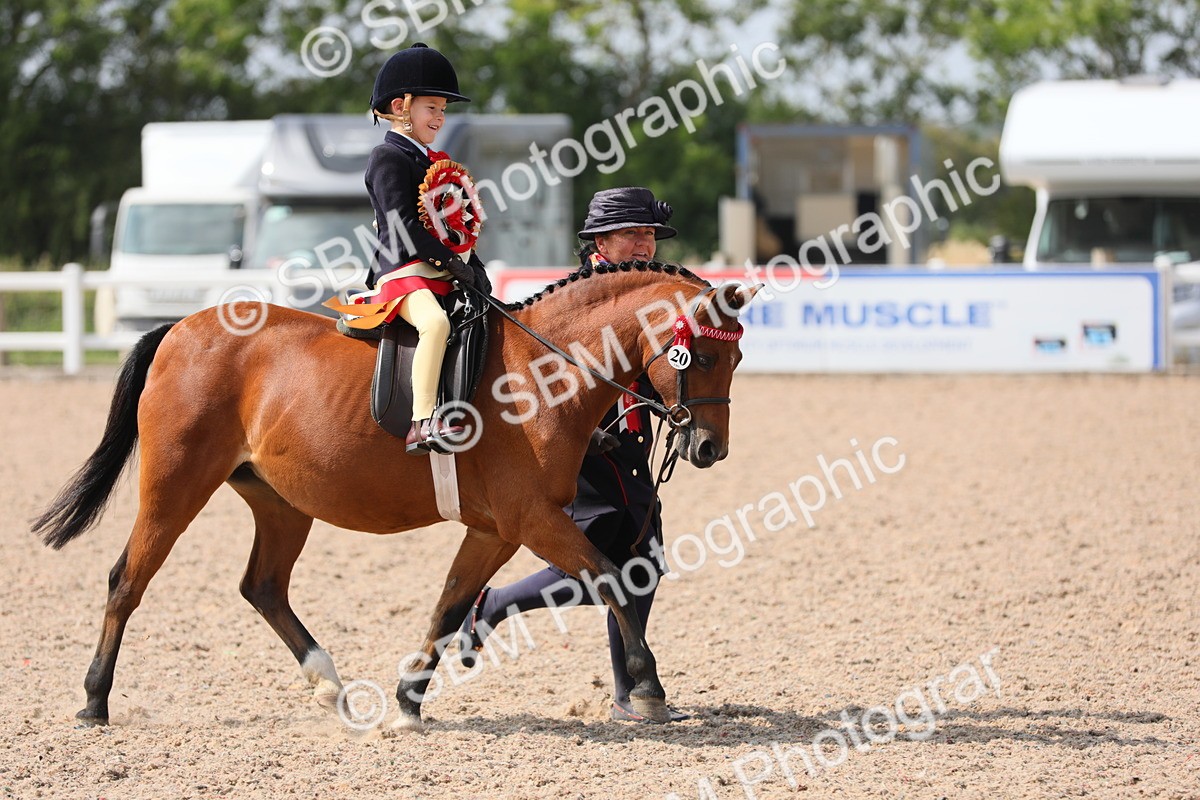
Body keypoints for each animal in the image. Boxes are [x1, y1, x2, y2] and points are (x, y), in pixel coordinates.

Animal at [33, 260, 760, 729]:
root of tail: (180, 328)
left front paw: (410, 701)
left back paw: (330, 688)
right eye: (697, 356)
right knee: (128, 581)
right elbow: (610, 575)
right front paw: (650, 686)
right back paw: (94, 701)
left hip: (281, 503)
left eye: (737, 359)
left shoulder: (495, 529)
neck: (541, 370)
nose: (709, 448)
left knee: (262, 586)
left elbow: (449, 605)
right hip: (175, 486)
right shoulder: (532, 519)